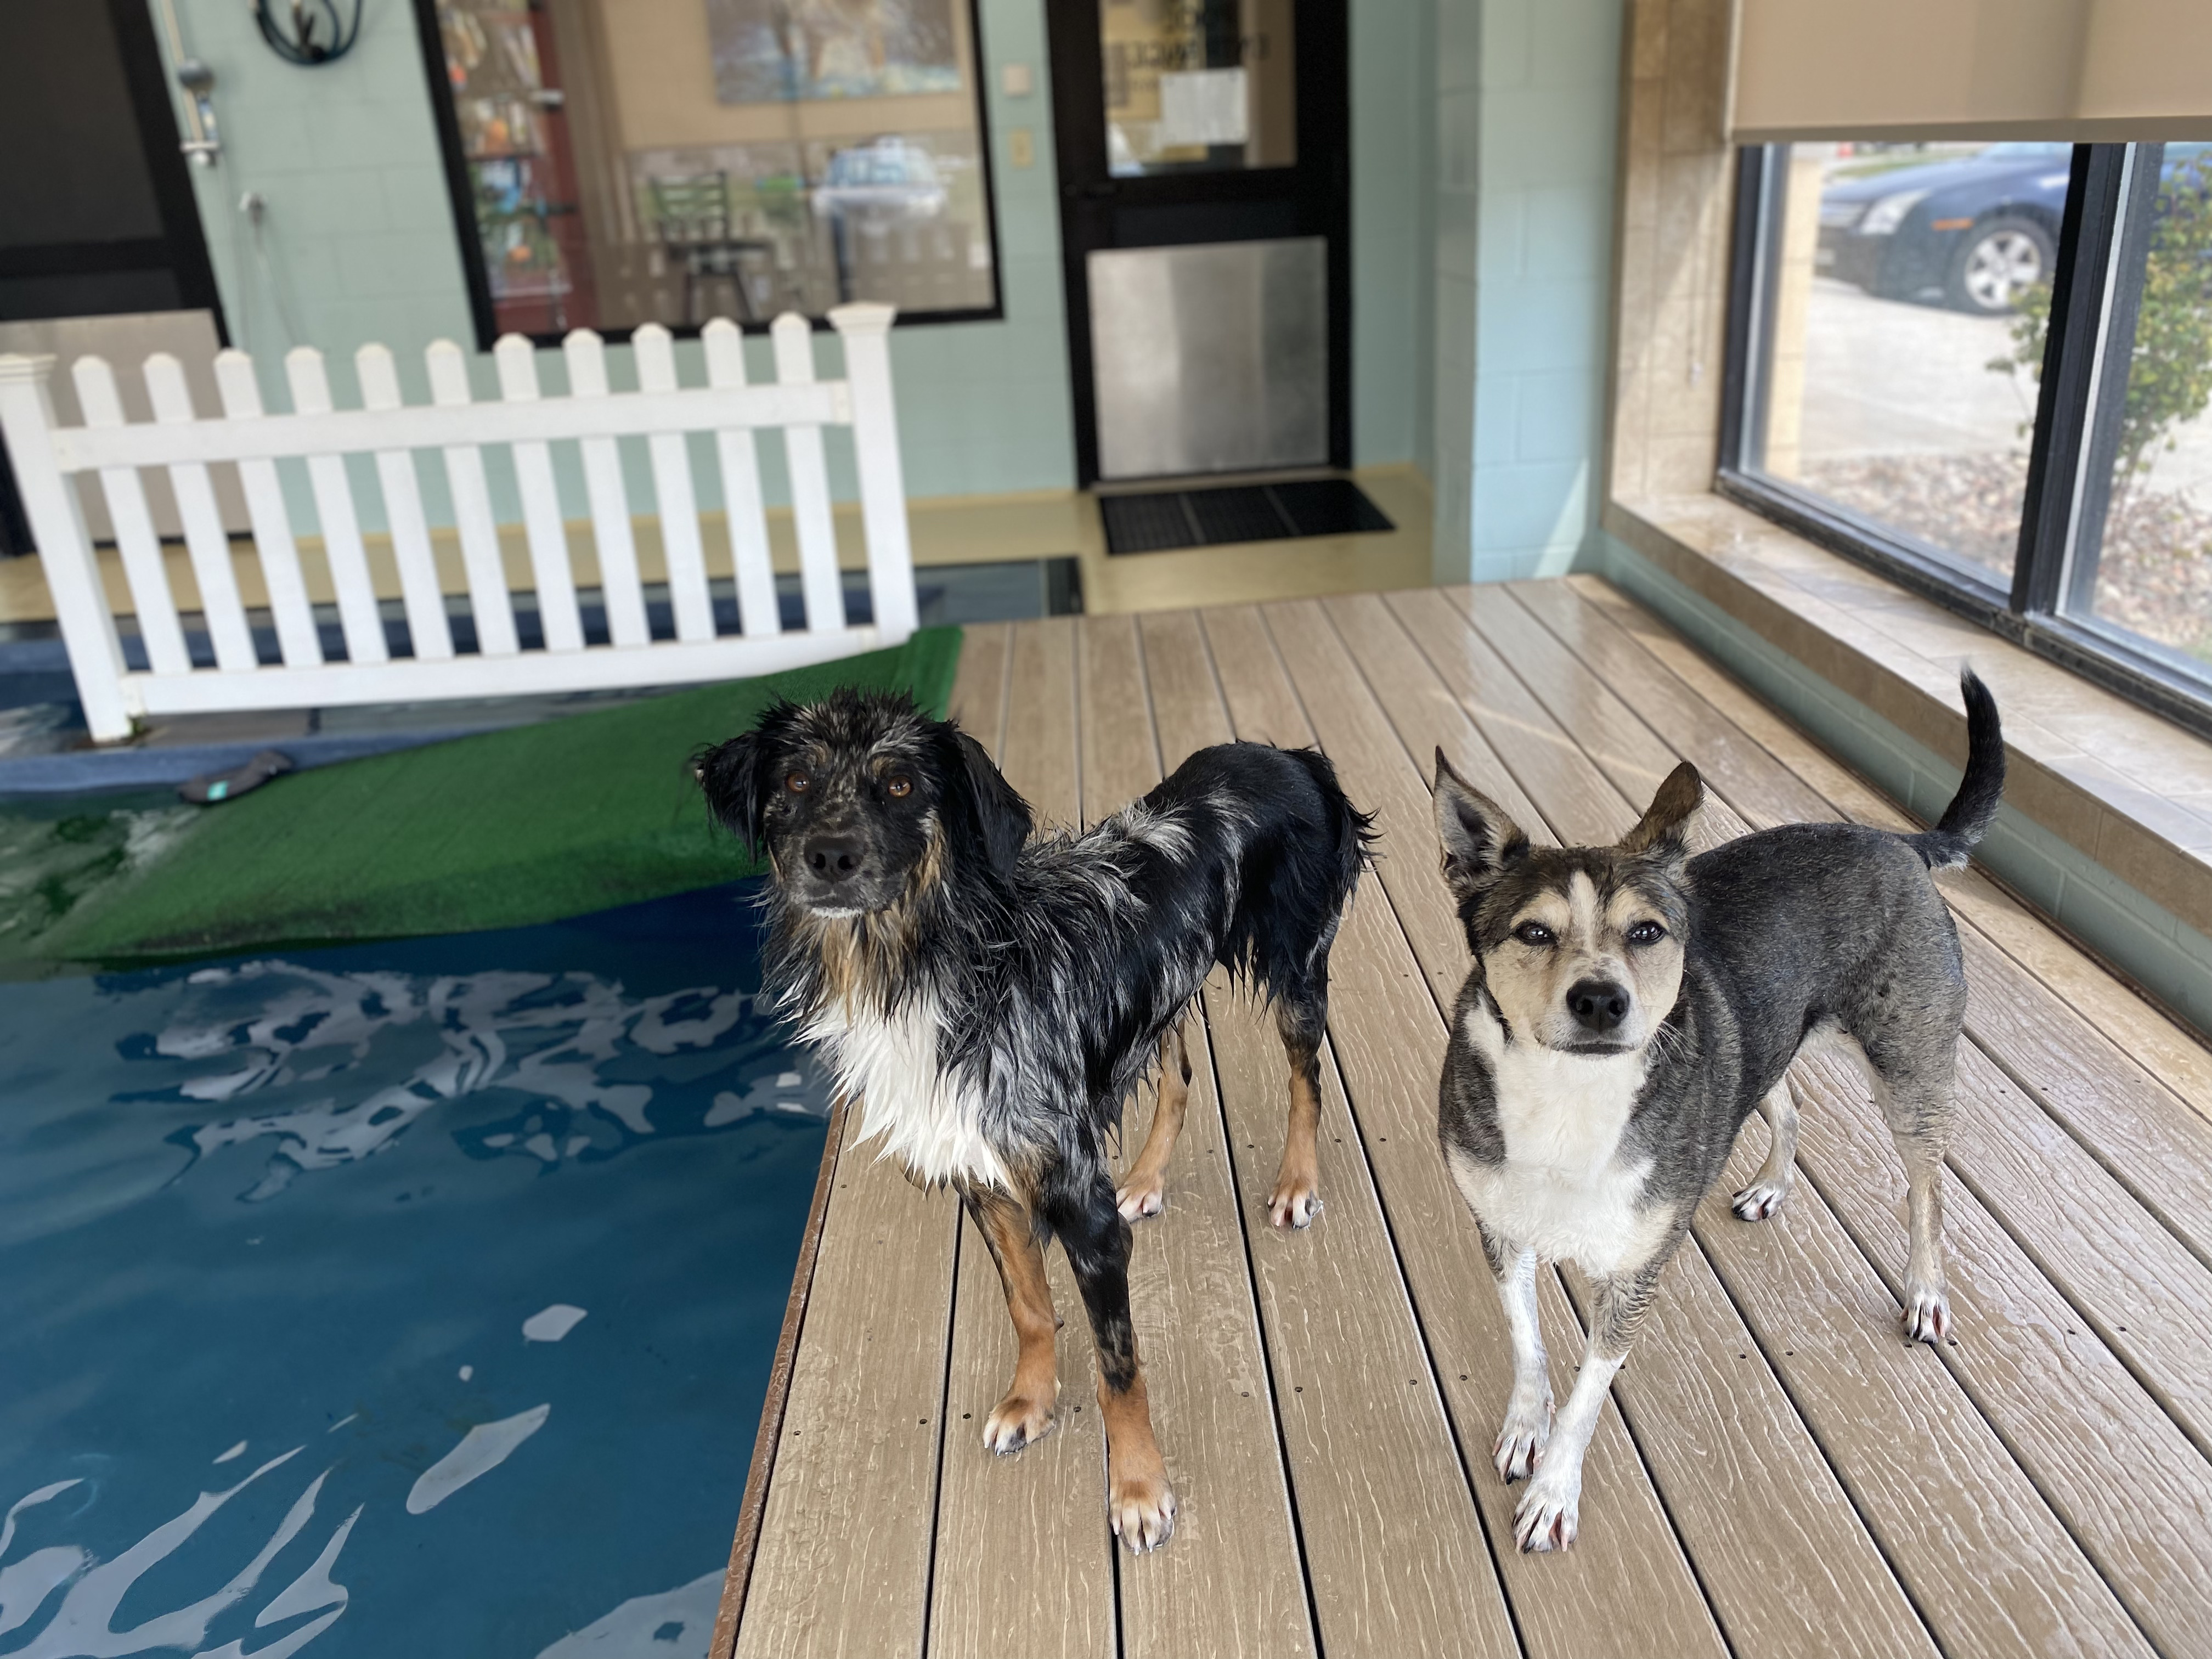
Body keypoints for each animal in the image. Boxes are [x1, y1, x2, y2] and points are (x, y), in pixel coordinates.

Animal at [699, 685, 1371, 1548]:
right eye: (794, 782)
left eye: (900, 786)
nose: (831, 858)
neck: (931, 965)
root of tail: (1289, 755)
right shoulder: (981, 1175)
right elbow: (1029, 1309)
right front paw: (1031, 1402)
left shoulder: (1081, 1206)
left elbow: (1119, 1366)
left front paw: (1139, 1488)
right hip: (1165, 985)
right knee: (1180, 1071)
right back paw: (1148, 1176)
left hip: (1295, 969)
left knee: (1306, 1079)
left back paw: (1296, 1181)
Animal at [1424, 668, 2017, 1557]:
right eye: (1533, 933)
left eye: (1647, 933)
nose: (1601, 1000)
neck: (1571, 1098)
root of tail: (1897, 841)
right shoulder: (1500, 1229)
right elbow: (1528, 1345)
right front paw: (1526, 1426)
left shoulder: (1635, 1277)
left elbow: (1588, 1394)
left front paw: (1555, 1489)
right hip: (1763, 1043)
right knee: (1790, 1105)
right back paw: (1773, 1185)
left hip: (1910, 1070)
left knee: (1927, 1189)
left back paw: (1924, 1290)